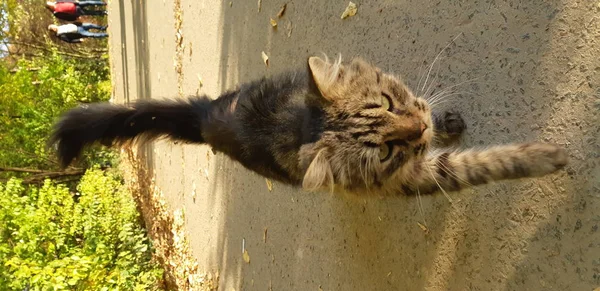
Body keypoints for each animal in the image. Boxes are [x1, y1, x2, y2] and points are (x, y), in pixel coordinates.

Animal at [50, 56, 568, 196]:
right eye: (385, 152)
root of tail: (205, 114)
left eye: (388, 103)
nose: (419, 129)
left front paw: (444, 119)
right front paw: (548, 156)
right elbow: (486, 164)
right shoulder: (412, 178)